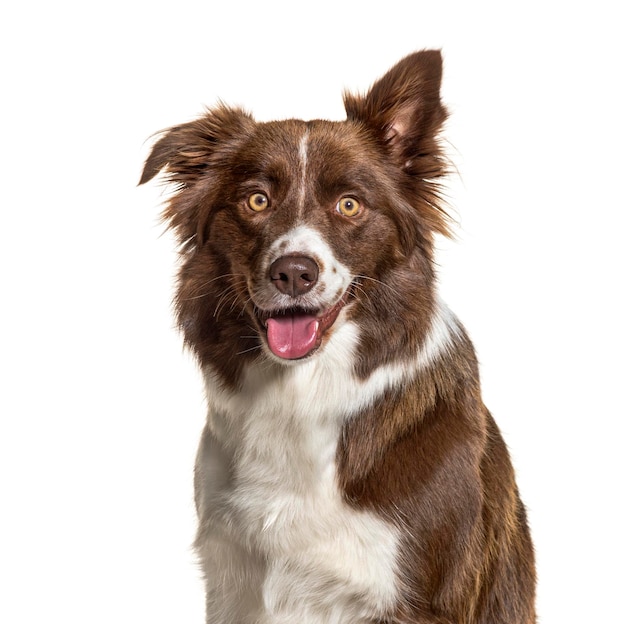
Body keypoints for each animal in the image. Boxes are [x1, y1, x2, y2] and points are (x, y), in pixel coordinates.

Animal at [141, 50, 536, 624]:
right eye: (256, 200)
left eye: (349, 205)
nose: (293, 273)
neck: (300, 391)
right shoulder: (232, 580)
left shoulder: (419, 596)